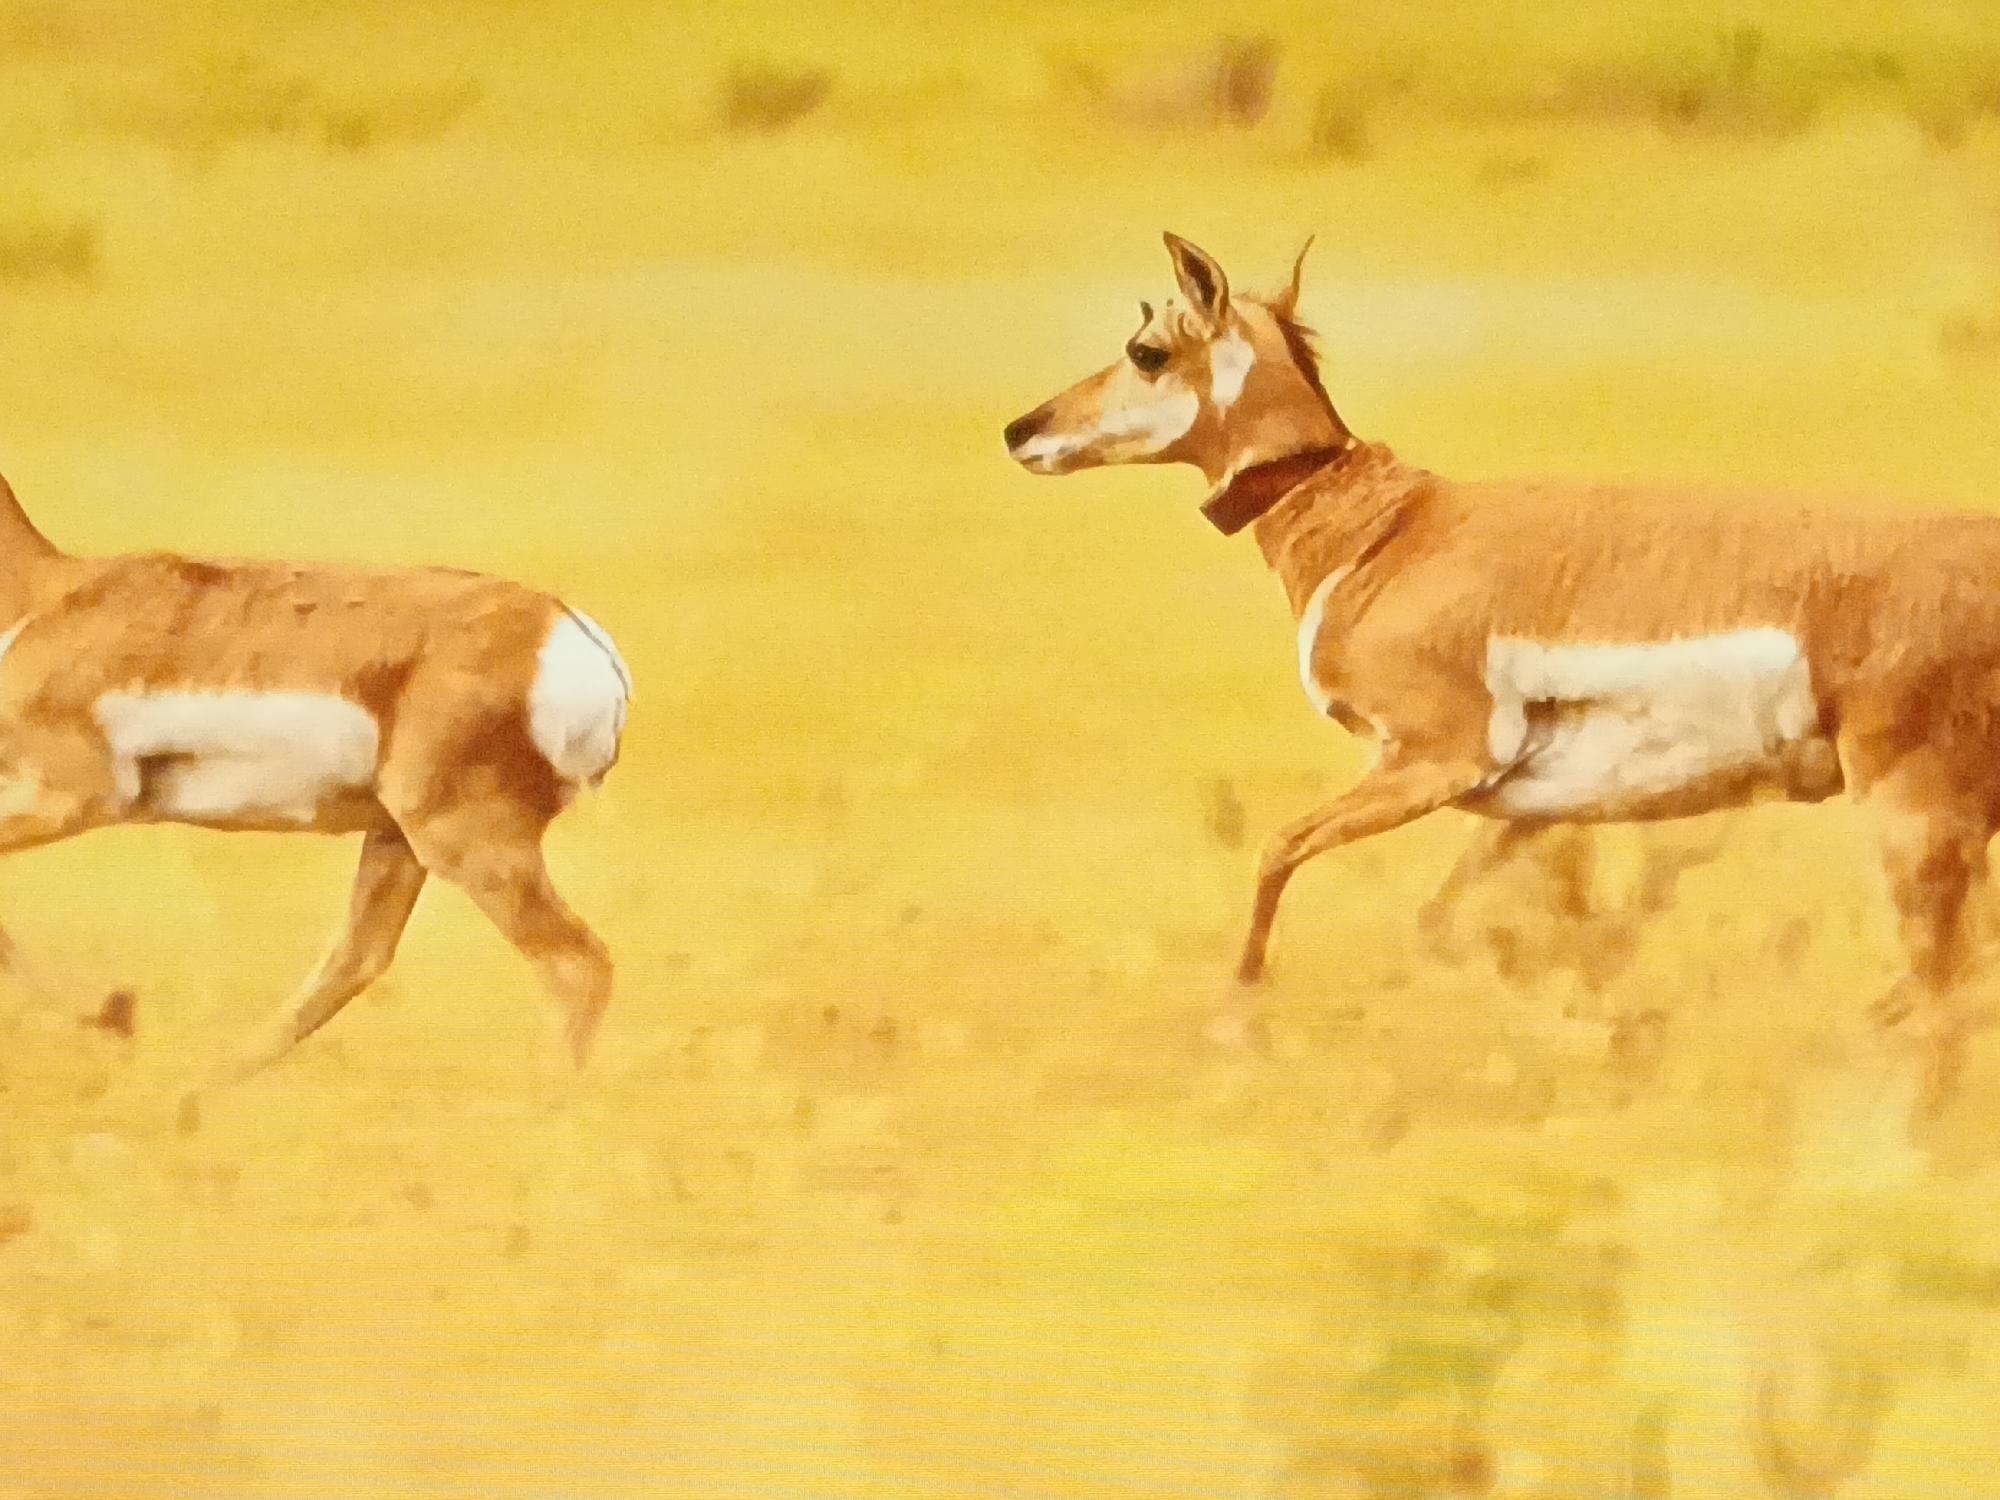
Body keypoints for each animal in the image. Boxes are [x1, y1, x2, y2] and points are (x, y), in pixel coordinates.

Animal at [0, 465, 630, 1129]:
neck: (42, 593)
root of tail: (576, 635)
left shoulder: (75, 797)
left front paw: (105, 1024)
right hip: (398, 840)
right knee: (357, 959)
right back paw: (188, 1096)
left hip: (463, 845)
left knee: (577, 965)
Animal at [1005, 232, 2000, 1110]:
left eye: (1146, 350)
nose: (1021, 430)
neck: (1389, 532)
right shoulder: (1527, 813)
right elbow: (1456, 925)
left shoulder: (1431, 763)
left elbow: (1279, 850)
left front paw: (1237, 1028)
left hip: (1914, 823)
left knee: (1944, 992)